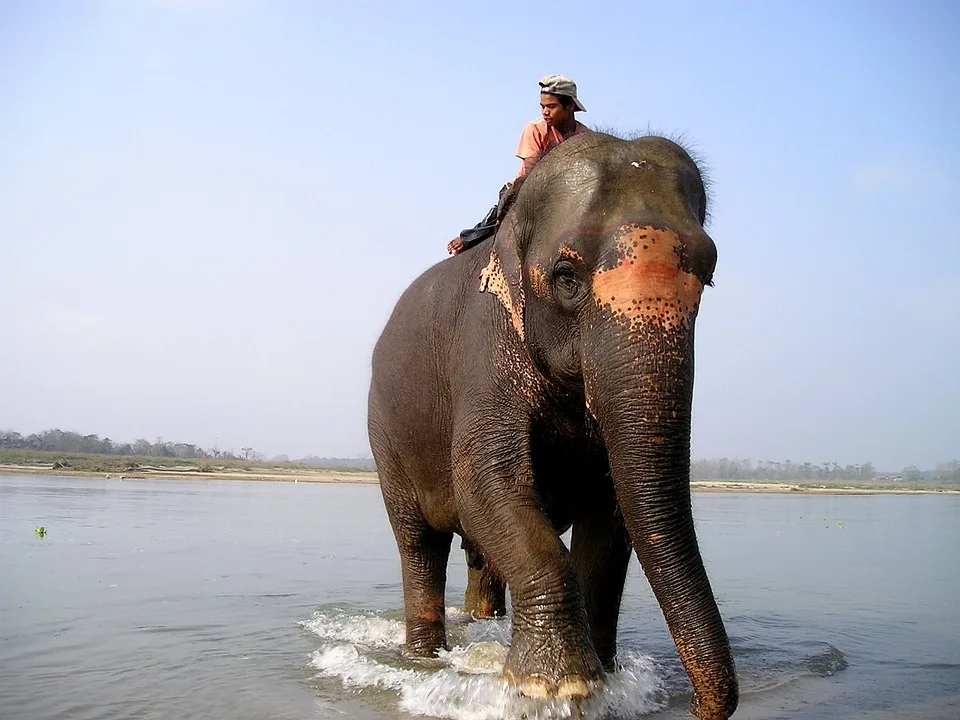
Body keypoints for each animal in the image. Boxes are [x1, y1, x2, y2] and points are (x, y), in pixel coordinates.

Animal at [368, 131, 736, 720]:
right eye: (566, 278)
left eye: (709, 276)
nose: (700, 708)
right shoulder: (485, 348)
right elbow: (486, 481)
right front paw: (554, 689)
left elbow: (611, 512)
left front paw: (603, 678)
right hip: (386, 437)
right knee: (419, 544)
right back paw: (424, 657)